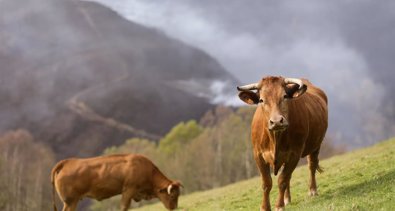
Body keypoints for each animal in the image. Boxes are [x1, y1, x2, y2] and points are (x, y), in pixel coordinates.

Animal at [50, 153, 183, 211]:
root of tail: (67, 162)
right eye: (172, 195)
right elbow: (124, 207)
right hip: (70, 201)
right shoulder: (129, 189)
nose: (174, 208)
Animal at [238, 76, 328, 211]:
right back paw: (287, 199)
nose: (276, 121)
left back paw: (312, 190)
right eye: (261, 100)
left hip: (316, 145)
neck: (275, 138)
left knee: (311, 166)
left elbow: (282, 180)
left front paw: (279, 206)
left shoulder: (295, 154)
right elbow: (267, 182)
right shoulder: (258, 155)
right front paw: (265, 207)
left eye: (285, 96)